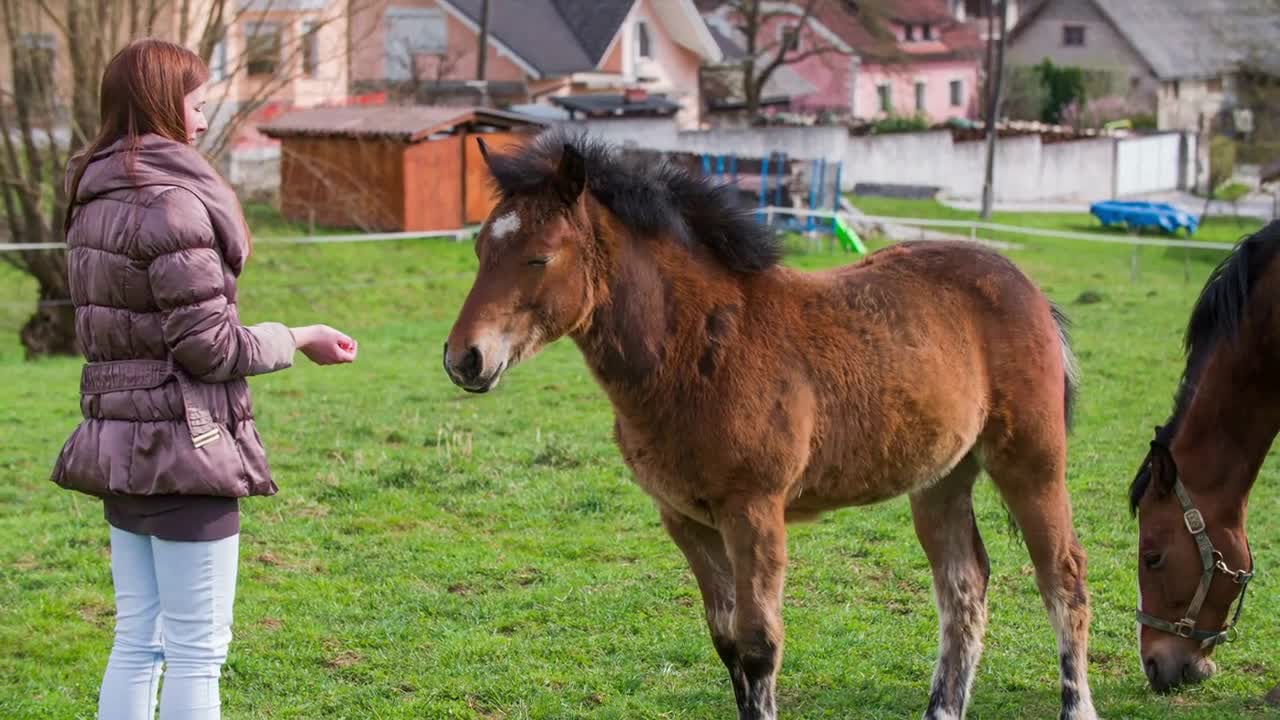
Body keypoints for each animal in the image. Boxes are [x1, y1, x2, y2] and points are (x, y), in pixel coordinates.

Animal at [445, 130, 1095, 717]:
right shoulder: (685, 519)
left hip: (1031, 461)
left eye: (540, 257)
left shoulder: (754, 510)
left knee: (1062, 578)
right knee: (963, 589)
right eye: (478, 252)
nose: (464, 359)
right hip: (940, 477)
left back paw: (1076, 704)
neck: (699, 347)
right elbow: (727, 645)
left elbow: (759, 648)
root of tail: (1026, 286)